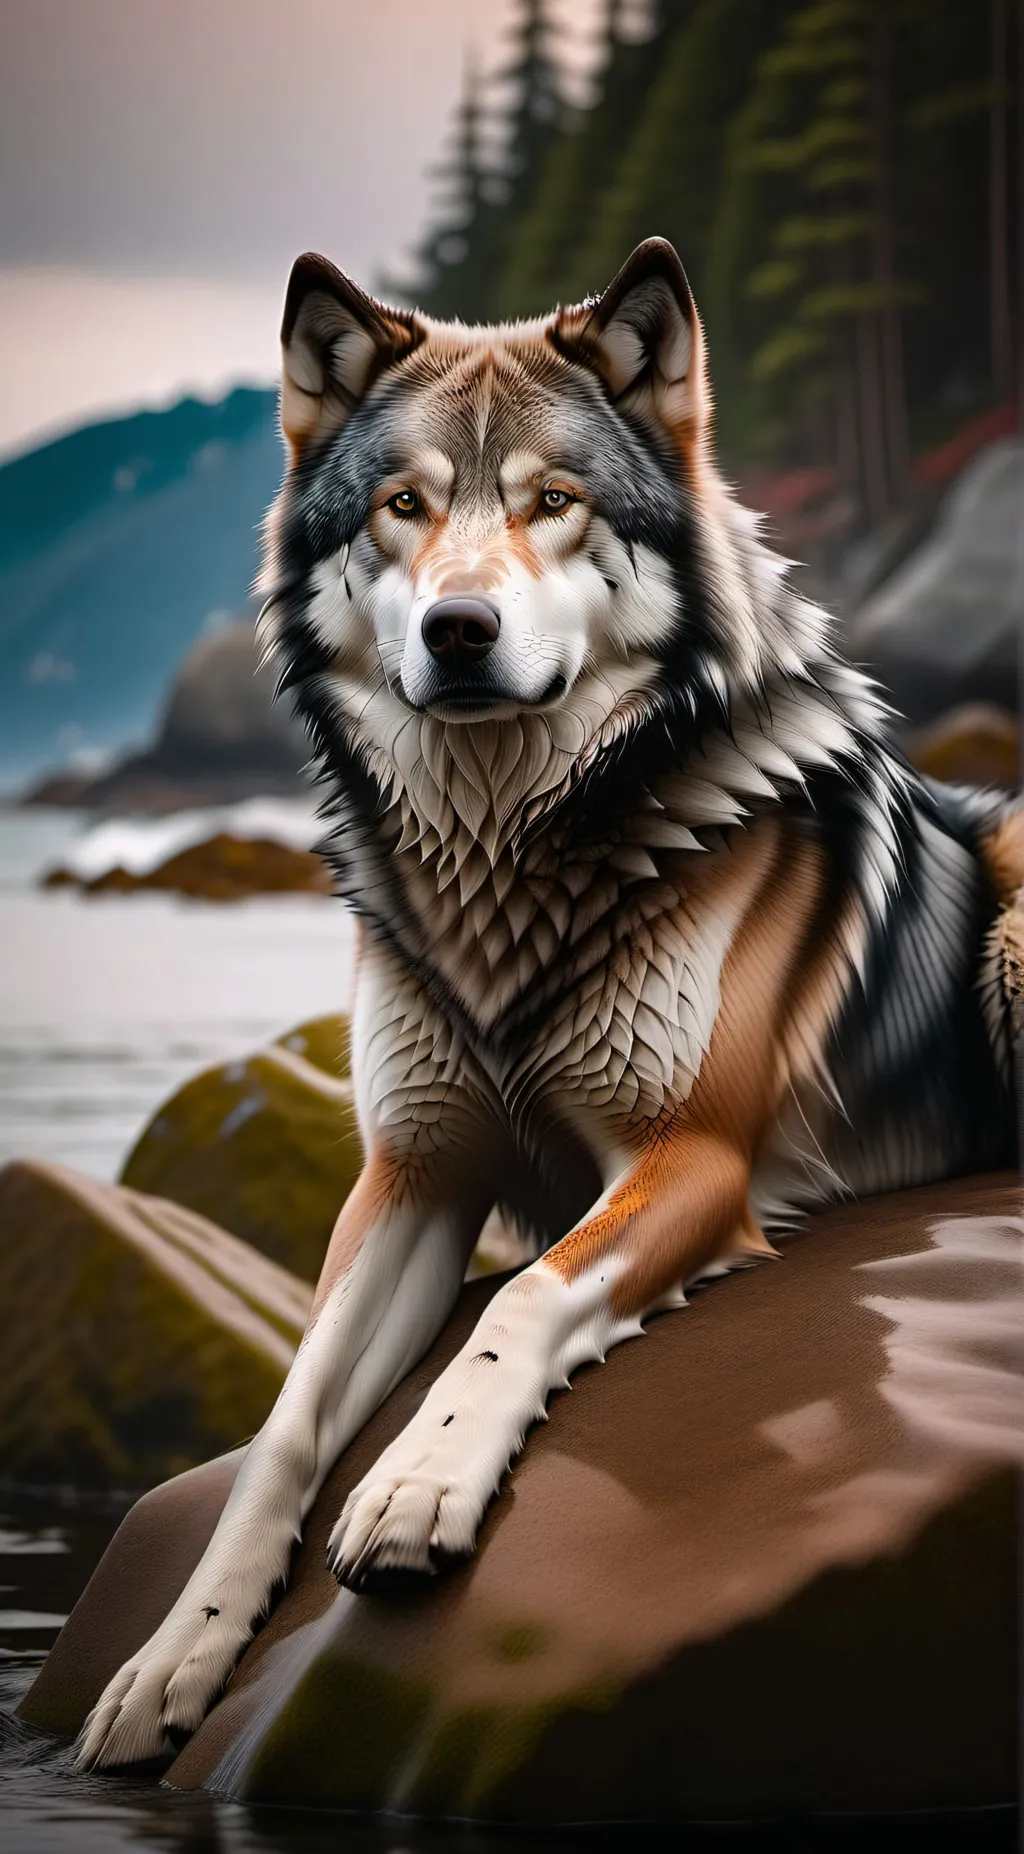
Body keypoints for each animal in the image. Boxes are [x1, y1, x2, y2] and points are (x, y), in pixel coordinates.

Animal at [79, 239, 1022, 1768]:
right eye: (404, 506)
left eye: (553, 502)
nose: (460, 629)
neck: (508, 860)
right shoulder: (410, 1177)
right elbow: (284, 1425)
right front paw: (173, 1657)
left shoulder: (690, 1159)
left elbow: (523, 1296)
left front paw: (416, 1487)